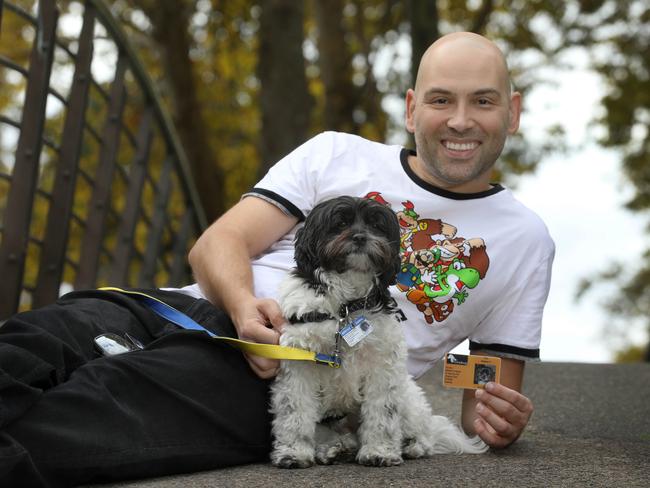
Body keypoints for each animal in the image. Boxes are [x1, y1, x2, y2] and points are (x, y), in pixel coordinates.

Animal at [266, 197, 484, 468]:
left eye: (376, 225)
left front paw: (379, 452)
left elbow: (382, 414)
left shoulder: (382, 367)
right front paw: (294, 452)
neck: (346, 307)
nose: (360, 237)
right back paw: (336, 448)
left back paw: (412, 446)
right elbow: (295, 413)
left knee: (423, 432)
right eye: (340, 223)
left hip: (408, 397)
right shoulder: (299, 363)